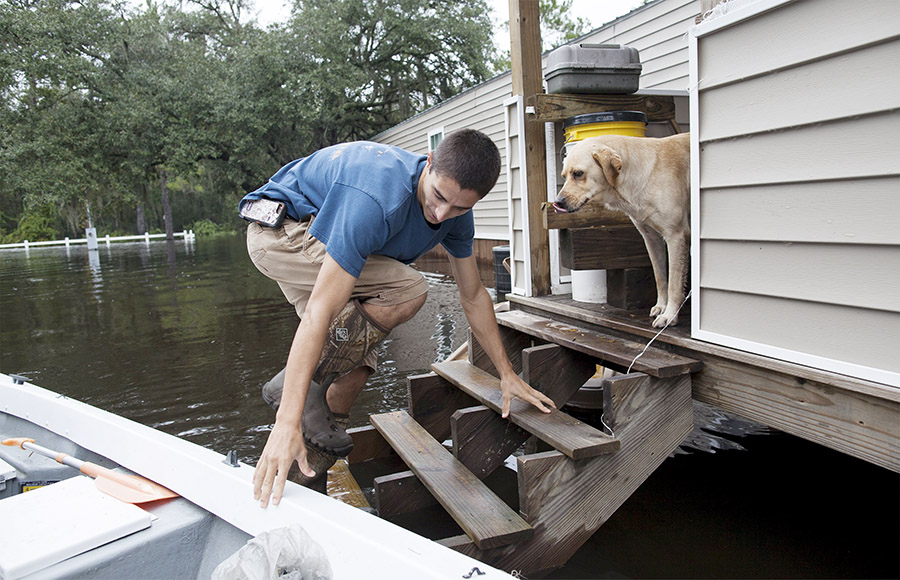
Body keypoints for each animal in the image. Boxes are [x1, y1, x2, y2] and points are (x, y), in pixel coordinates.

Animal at [552, 133, 692, 328]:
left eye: (578, 173)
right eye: (563, 176)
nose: (557, 203)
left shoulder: (676, 235)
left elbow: (674, 283)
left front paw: (670, 315)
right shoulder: (651, 238)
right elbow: (660, 277)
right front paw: (661, 306)